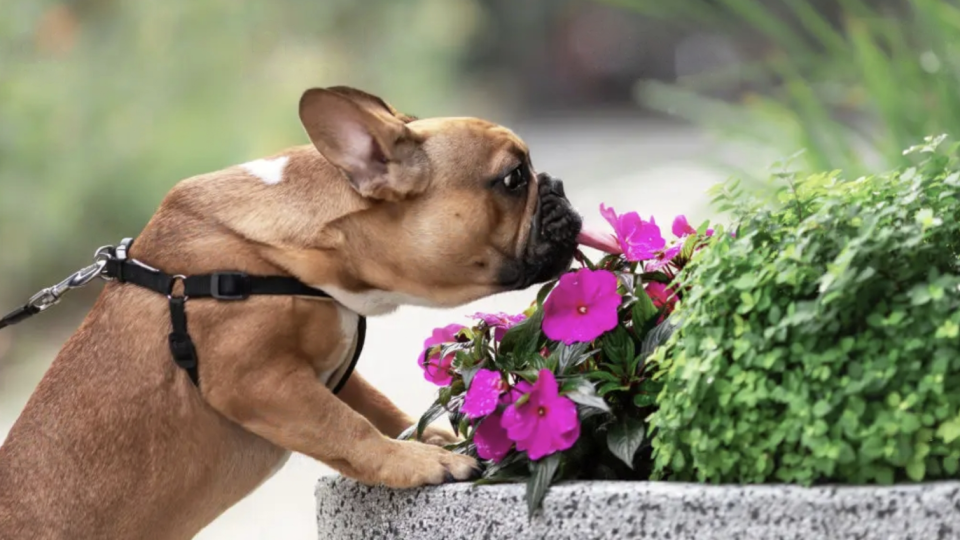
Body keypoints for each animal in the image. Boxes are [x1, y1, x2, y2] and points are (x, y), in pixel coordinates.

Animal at [0, 86, 584, 536]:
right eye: (513, 178)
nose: (557, 186)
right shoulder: (257, 380)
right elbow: (346, 428)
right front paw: (421, 461)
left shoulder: (323, 368)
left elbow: (371, 407)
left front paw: (425, 437)